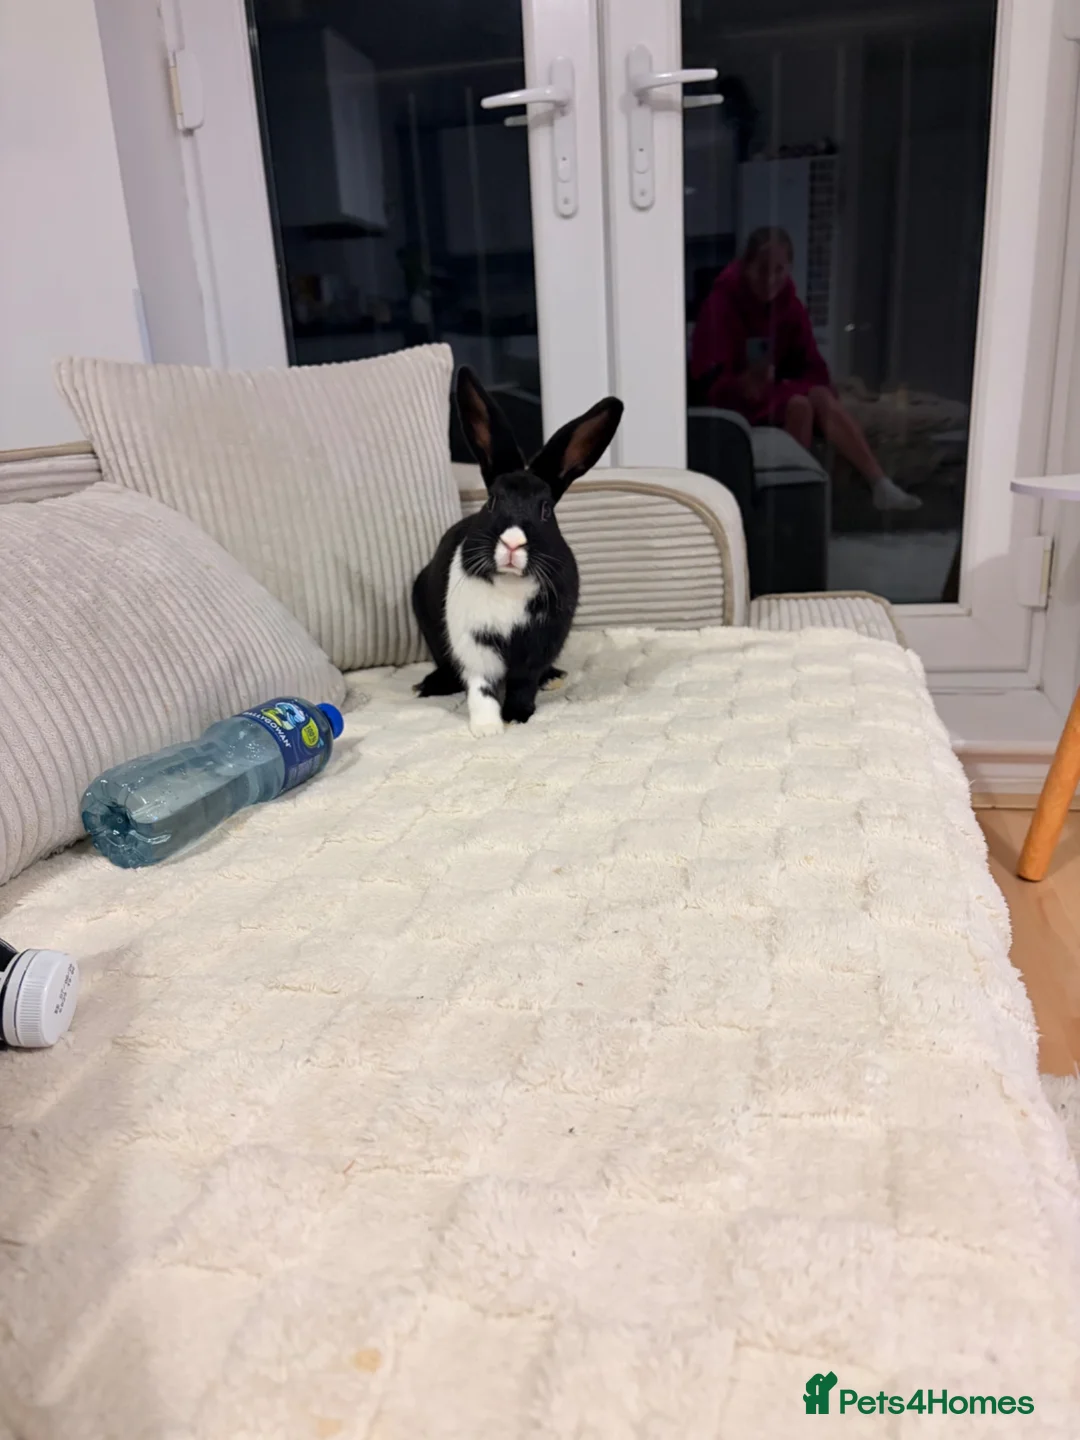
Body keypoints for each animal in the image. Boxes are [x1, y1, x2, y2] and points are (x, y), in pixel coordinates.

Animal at [412, 366, 623, 736]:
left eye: (545, 510)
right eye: (493, 501)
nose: (512, 542)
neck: (510, 583)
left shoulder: (538, 645)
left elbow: (524, 682)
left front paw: (516, 715)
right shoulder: (474, 643)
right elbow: (480, 686)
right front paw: (487, 728)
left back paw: (553, 678)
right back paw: (430, 685)